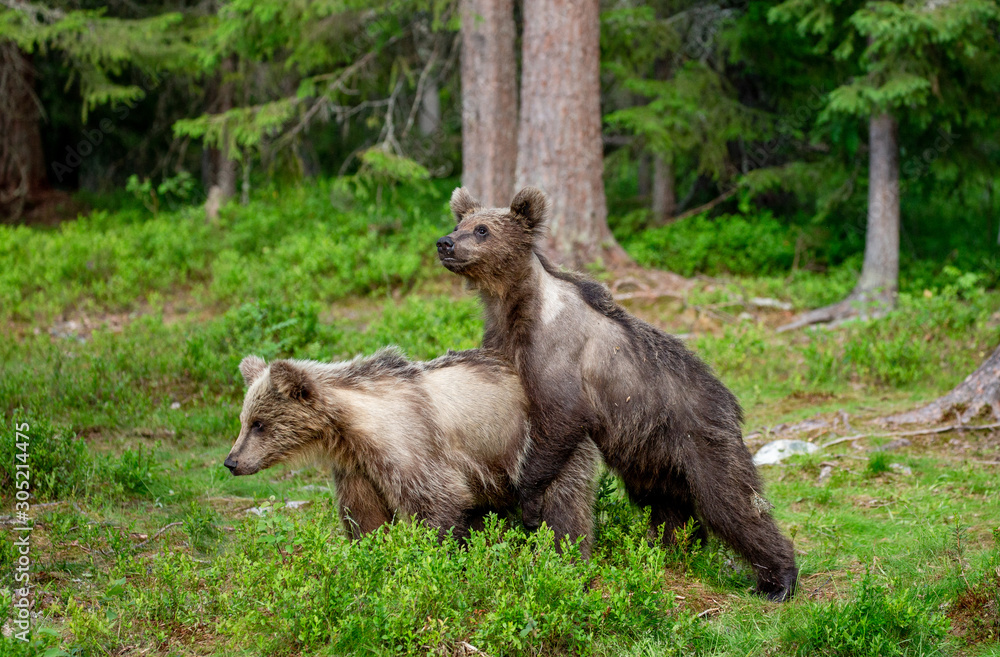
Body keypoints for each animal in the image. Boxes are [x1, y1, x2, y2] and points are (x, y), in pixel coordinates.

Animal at [225, 347, 600, 553]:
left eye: (259, 423)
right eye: (243, 420)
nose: (232, 461)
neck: (353, 426)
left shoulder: (412, 447)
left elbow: (438, 505)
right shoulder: (357, 466)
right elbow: (364, 516)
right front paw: (370, 555)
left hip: (538, 445)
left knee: (564, 503)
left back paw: (568, 557)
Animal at [435, 187, 798, 600]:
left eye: (482, 230)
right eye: (460, 223)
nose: (445, 243)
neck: (516, 306)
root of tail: (727, 397)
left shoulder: (560, 365)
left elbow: (557, 427)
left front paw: (528, 500)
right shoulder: (502, 345)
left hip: (699, 435)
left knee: (731, 501)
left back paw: (777, 579)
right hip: (650, 453)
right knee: (666, 502)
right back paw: (673, 547)